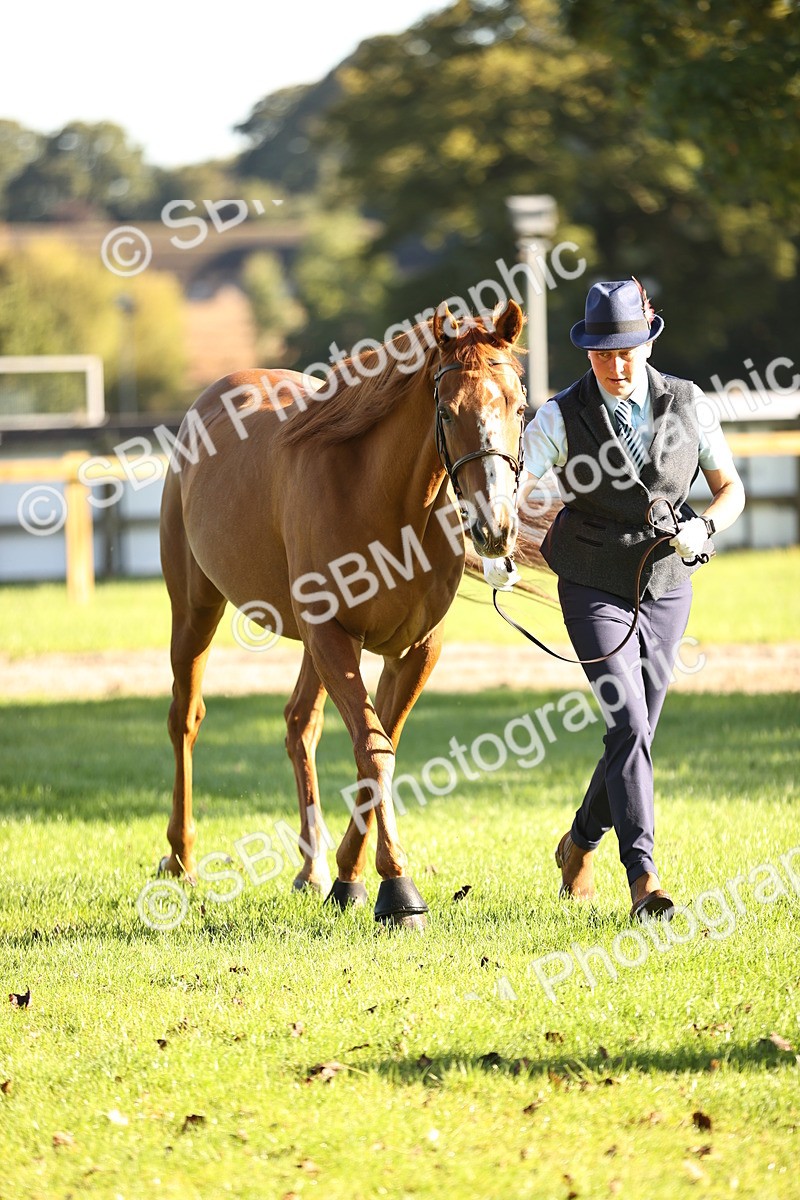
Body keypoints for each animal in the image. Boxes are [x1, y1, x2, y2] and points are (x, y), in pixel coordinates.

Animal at [158, 298, 527, 926]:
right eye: (448, 412)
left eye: (520, 406)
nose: (494, 527)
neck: (384, 503)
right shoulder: (333, 635)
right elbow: (374, 752)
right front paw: (397, 888)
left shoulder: (412, 650)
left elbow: (376, 749)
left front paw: (350, 877)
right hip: (195, 612)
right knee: (186, 717)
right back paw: (181, 857)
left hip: (312, 646)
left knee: (298, 725)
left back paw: (310, 869)